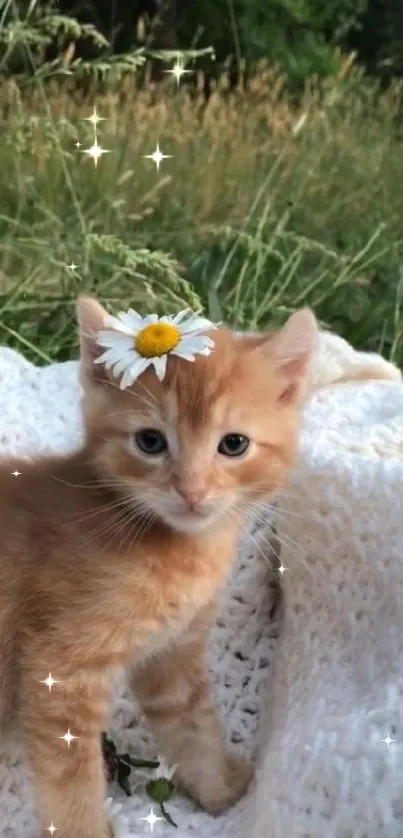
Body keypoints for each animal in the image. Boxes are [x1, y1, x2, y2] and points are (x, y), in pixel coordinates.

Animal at [0, 296, 318, 838]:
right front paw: (86, 830)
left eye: (234, 444)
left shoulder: (173, 652)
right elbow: (71, 777)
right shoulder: (57, 669)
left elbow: (192, 726)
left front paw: (221, 787)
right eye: (150, 442)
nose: (191, 491)